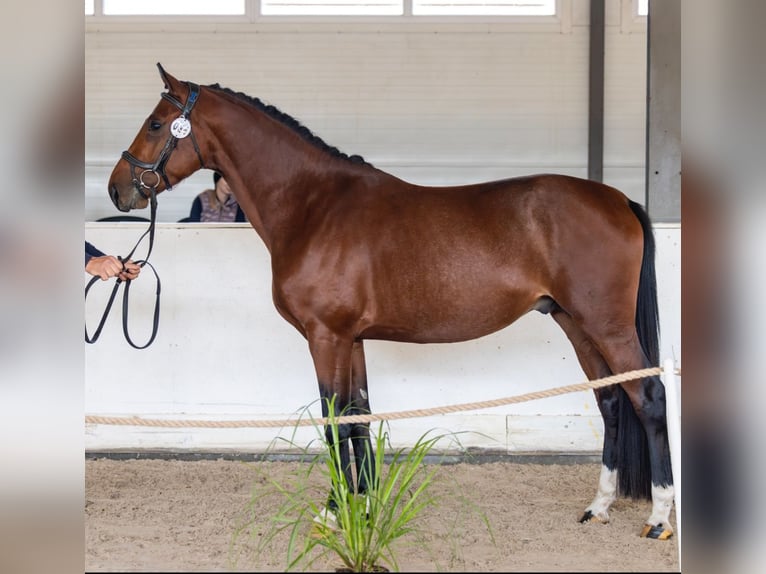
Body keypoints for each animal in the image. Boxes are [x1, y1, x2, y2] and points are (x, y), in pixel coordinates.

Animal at [107, 63, 674, 540]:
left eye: (155, 124)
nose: (118, 190)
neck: (313, 206)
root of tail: (617, 199)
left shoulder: (326, 337)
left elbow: (334, 418)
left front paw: (335, 512)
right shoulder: (351, 339)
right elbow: (358, 415)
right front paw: (362, 506)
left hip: (607, 325)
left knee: (647, 397)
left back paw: (658, 518)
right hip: (574, 322)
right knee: (611, 400)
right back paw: (598, 506)